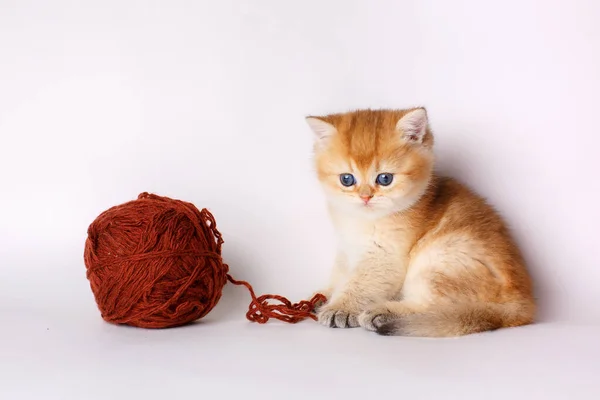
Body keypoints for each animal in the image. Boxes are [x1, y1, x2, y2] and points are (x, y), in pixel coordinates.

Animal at [304, 108, 536, 336]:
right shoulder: (347, 247)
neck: (362, 220)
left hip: (440, 258)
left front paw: (340, 307)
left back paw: (384, 313)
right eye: (347, 179)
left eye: (385, 179)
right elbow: (341, 274)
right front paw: (324, 295)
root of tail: (523, 304)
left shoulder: (383, 257)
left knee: (434, 307)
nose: (365, 197)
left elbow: (361, 284)